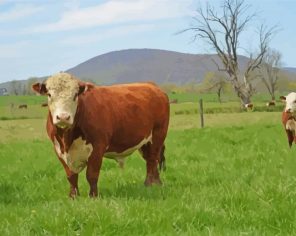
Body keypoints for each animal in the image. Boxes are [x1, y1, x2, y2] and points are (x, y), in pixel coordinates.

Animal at [31, 73, 169, 198]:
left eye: (75, 95)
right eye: (49, 94)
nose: (63, 117)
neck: (67, 139)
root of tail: (153, 86)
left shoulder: (97, 147)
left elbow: (91, 175)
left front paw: (93, 196)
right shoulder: (59, 150)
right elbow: (71, 176)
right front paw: (73, 196)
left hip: (158, 134)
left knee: (152, 159)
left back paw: (150, 185)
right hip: (144, 142)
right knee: (151, 160)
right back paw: (155, 183)